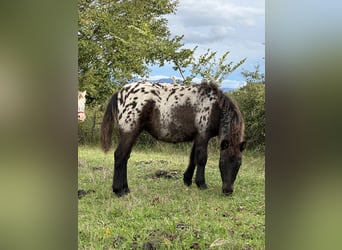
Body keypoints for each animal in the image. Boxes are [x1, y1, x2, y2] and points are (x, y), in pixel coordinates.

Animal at [99, 81, 246, 196]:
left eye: (239, 164)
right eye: (222, 162)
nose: (228, 191)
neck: (215, 107)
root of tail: (120, 92)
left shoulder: (197, 138)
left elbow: (193, 158)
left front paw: (187, 180)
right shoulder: (203, 136)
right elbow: (202, 159)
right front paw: (201, 184)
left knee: (125, 158)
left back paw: (125, 189)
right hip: (130, 133)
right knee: (120, 156)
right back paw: (119, 190)